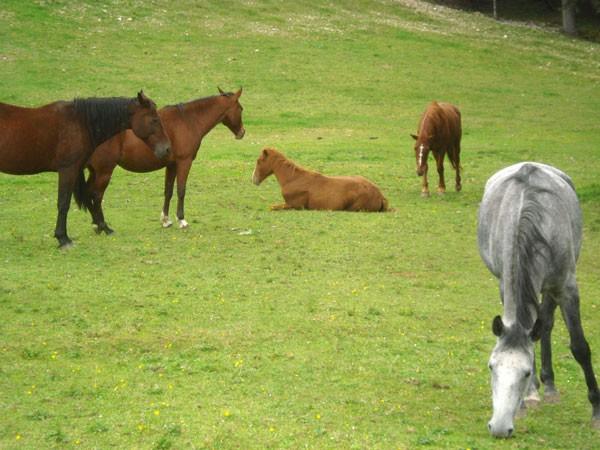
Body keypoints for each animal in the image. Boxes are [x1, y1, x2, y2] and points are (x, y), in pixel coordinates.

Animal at [0, 90, 170, 248]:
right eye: (154, 120)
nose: (167, 149)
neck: (80, 122)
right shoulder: (68, 170)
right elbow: (64, 203)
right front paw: (63, 238)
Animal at [84, 89, 244, 234]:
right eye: (241, 109)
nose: (242, 132)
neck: (188, 120)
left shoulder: (171, 165)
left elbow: (168, 191)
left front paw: (166, 220)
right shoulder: (184, 162)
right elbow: (181, 190)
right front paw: (182, 219)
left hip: (94, 171)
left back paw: (96, 224)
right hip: (104, 172)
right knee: (96, 195)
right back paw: (103, 226)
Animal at [252, 147, 390, 212]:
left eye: (258, 161)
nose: (253, 179)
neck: (293, 179)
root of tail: (380, 195)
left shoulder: (294, 206)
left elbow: (272, 207)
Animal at [478, 163, 600, 440]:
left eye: (524, 372)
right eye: (491, 367)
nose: (499, 428)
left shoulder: (566, 288)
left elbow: (580, 347)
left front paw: (597, 411)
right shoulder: (505, 285)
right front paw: (528, 398)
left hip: (551, 289)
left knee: (546, 324)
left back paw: (551, 386)